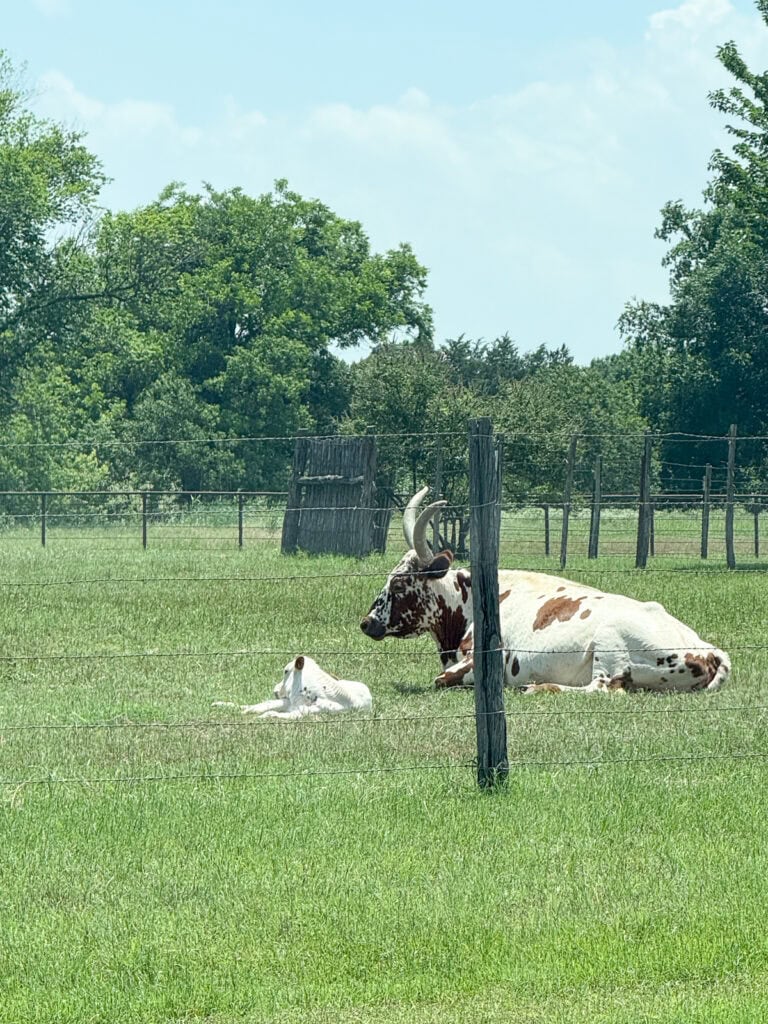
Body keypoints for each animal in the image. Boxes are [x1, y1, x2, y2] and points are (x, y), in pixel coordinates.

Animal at [212, 655, 372, 719]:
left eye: (285, 671)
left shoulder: (301, 713)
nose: (276, 690)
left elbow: (271, 713)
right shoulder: (287, 703)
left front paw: (261, 717)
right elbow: (260, 707)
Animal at [360, 488, 731, 695]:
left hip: (608, 645)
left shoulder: (480, 662)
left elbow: (440, 680)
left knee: (603, 689)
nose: (367, 622)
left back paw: (537, 687)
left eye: (398, 583)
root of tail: (710, 651)